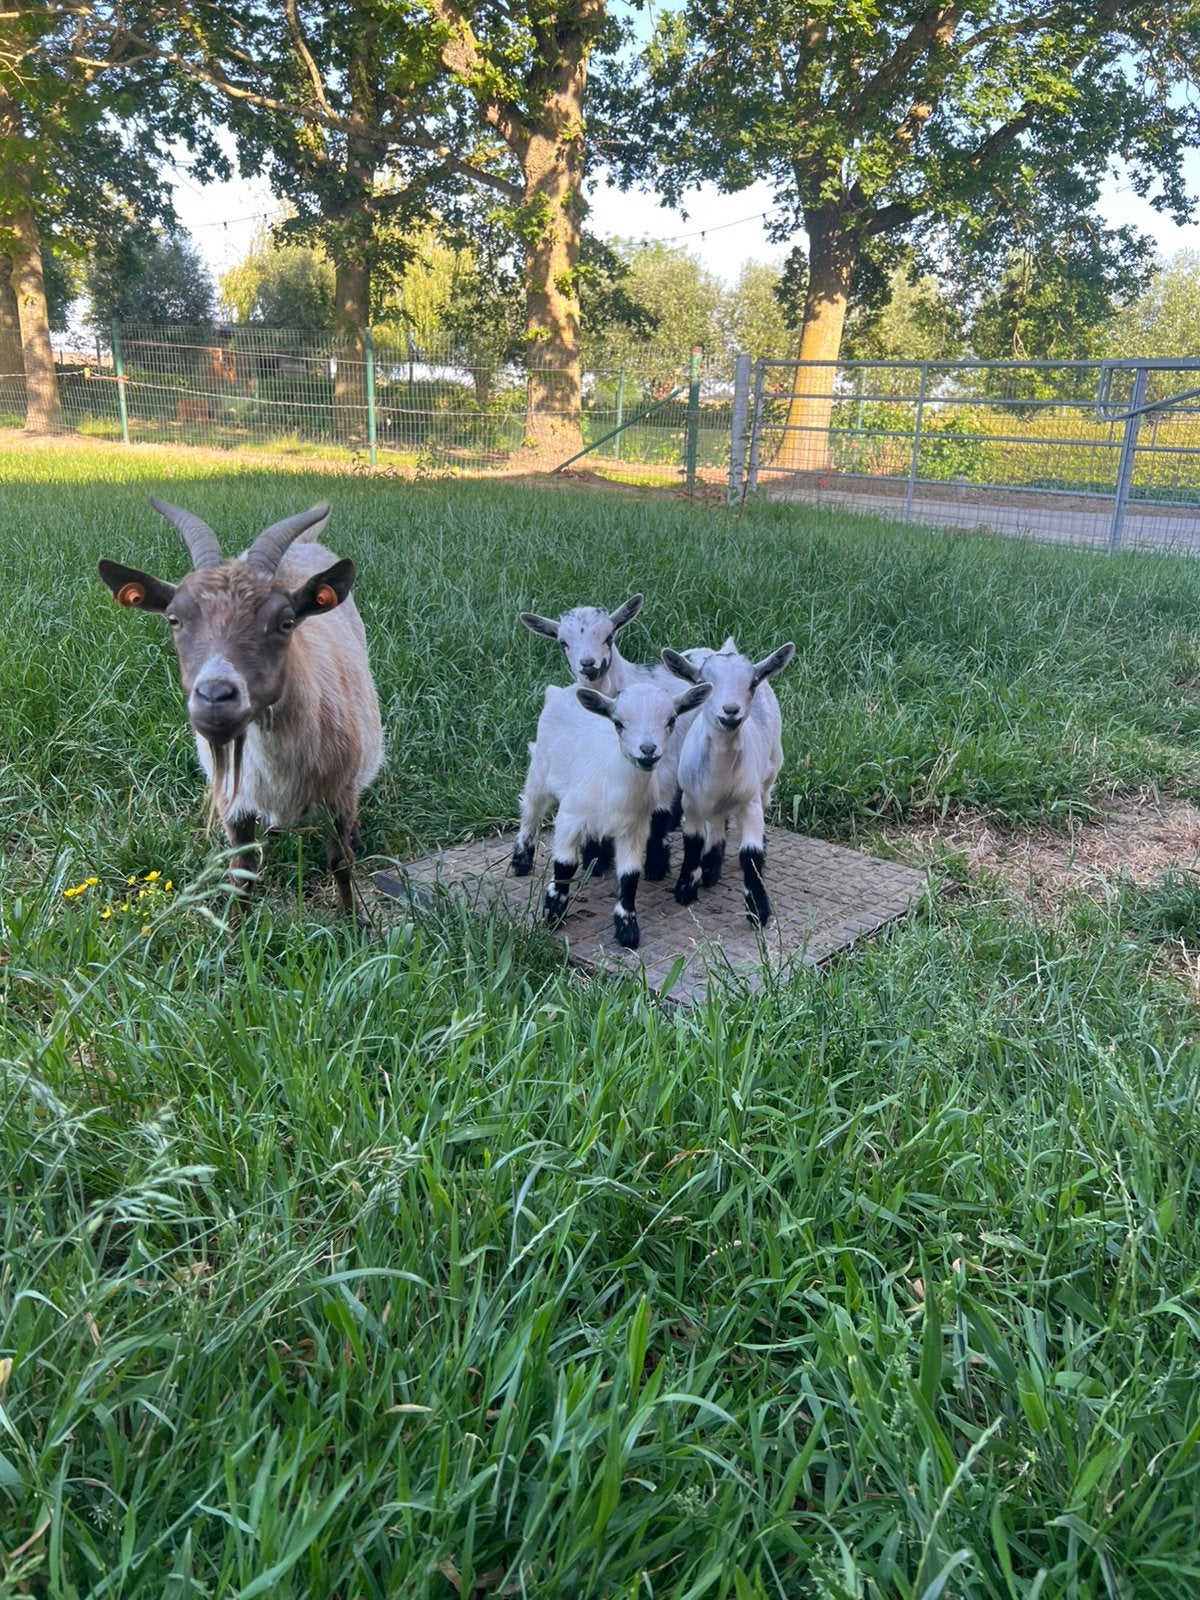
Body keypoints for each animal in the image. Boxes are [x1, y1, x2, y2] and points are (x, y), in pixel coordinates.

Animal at [98, 496, 383, 916]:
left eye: (286, 622)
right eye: (174, 619)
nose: (216, 697)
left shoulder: (338, 792)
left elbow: (339, 862)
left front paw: (352, 923)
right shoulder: (234, 803)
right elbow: (241, 870)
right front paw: (237, 930)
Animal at [510, 676, 713, 949]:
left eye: (671, 720)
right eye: (618, 723)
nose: (648, 750)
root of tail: (560, 691)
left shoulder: (634, 828)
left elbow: (629, 875)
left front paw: (627, 929)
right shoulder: (570, 817)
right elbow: (564, 865)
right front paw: (553, 913)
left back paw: (595, 860)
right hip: (539, 767)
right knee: (531, 809)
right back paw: (521, 860)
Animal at [518, 593, 691, 879]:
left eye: (609, 637)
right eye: (563, 642)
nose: (588, 665)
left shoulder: (663, 768)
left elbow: (657, 816)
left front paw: (656, 866)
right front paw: (596, 859)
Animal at [661, 637, 795, 926]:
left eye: (752, 683)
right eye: (703, 682)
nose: (730, 711)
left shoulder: (750, 801)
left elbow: (751, 853)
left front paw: (758, 909)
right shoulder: (691, 801)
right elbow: (693, 841)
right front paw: (686, 888)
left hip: (770, 770)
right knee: (716, 823)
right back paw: (711, 866)